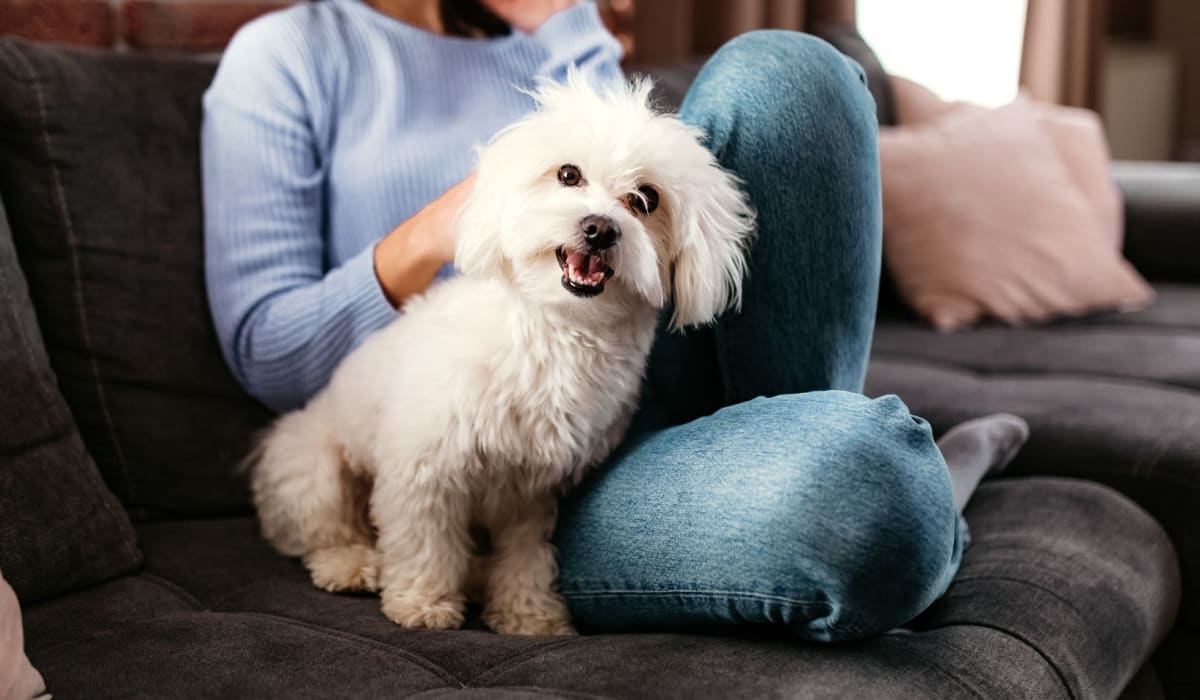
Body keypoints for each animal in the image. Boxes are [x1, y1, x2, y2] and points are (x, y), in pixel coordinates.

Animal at [248, 75, 753, 633]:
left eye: (645, 199)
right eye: (568, 174)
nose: (600, 228)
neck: (557, 330)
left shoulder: (531, 488)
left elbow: (525, 554)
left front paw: (527, 613)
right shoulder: (423, 467)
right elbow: (424, 540)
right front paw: (423, 601)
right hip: (312, 468)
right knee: (324, 532)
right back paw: (351, 563)